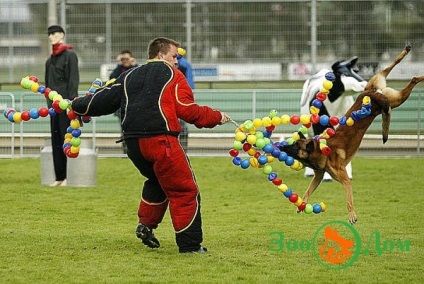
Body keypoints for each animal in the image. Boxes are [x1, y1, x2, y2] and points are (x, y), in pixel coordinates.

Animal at [282, 45, 424, 224]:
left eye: (295, 146)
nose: (282, 146)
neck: (322, 151)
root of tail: (372, 92)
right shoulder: (318, 176)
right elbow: (308, 189)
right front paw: (302, 204)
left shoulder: (345, 181)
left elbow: (349, 199)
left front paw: (352, 215)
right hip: (385, 88)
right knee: (401, 72)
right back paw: (408, 54)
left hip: (395, 100)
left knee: (410, 80)